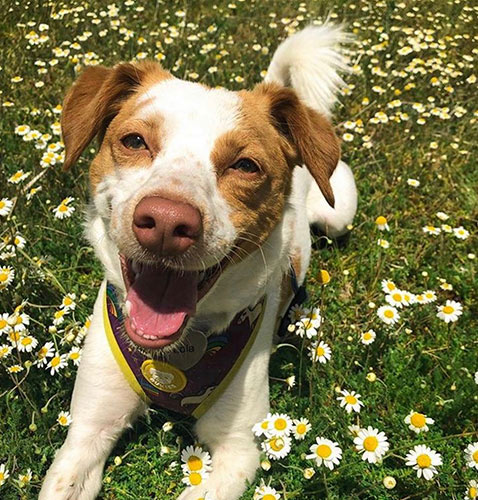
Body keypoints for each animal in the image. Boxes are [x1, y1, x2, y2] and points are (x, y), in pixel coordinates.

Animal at [39, 24, 356, 500]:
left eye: (246, 165)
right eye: (134, 141)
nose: (167, 222)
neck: (179, 353)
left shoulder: (240, 450)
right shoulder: (86, 432)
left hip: (339, 212)